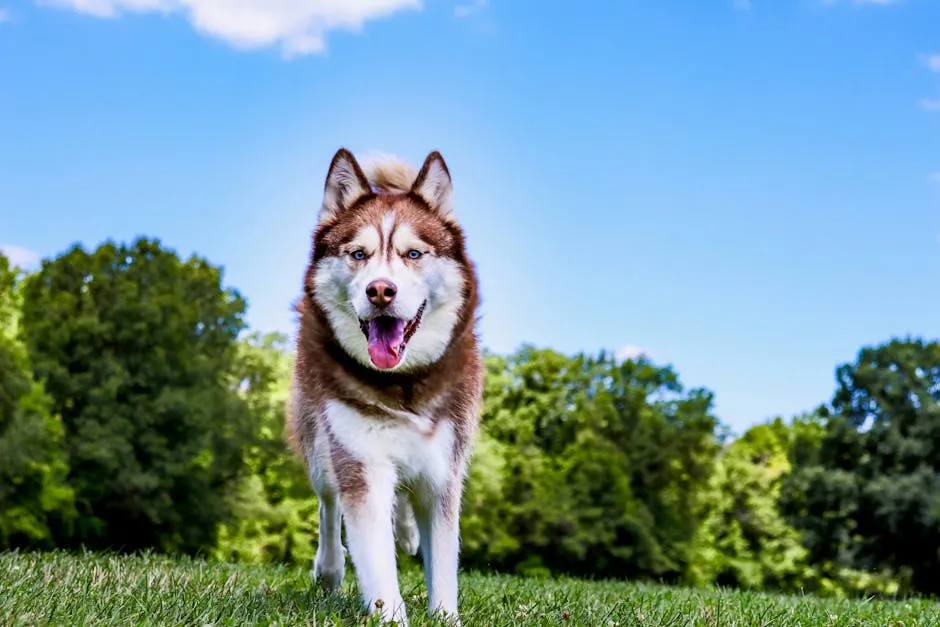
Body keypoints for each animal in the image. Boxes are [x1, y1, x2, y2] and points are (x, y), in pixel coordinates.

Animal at [286, 150, 484, 624]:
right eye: (359, 254)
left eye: (413, 253)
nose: (381, 290)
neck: (402, 385)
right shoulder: (362, 464)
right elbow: (376, 561)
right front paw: (390, 611)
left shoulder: (444, 470)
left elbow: (443, 565)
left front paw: (444, 613)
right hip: (318, 439)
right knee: (328, 501)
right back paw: (329, 569)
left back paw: (408, 532)